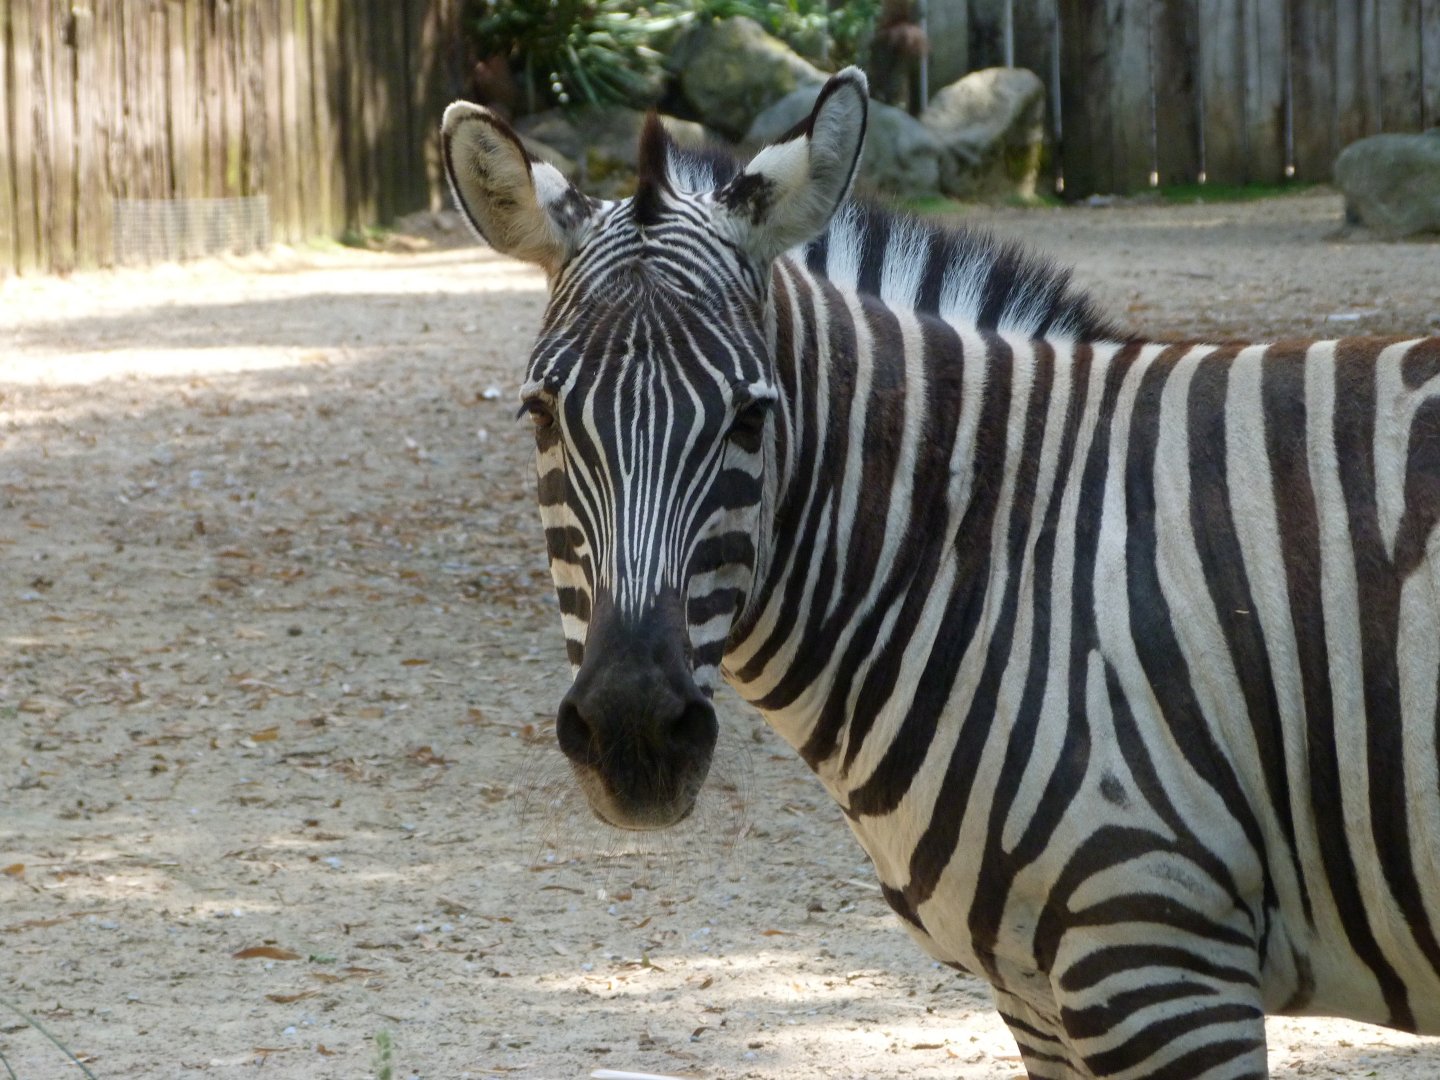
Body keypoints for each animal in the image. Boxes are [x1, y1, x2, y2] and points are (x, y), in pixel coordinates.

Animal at [441, 69, 1440, 1078]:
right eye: (540, 414)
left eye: (752, 418)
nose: (633, 736)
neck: (1002, 557)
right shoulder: (1039, 993)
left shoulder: (1161, 957)